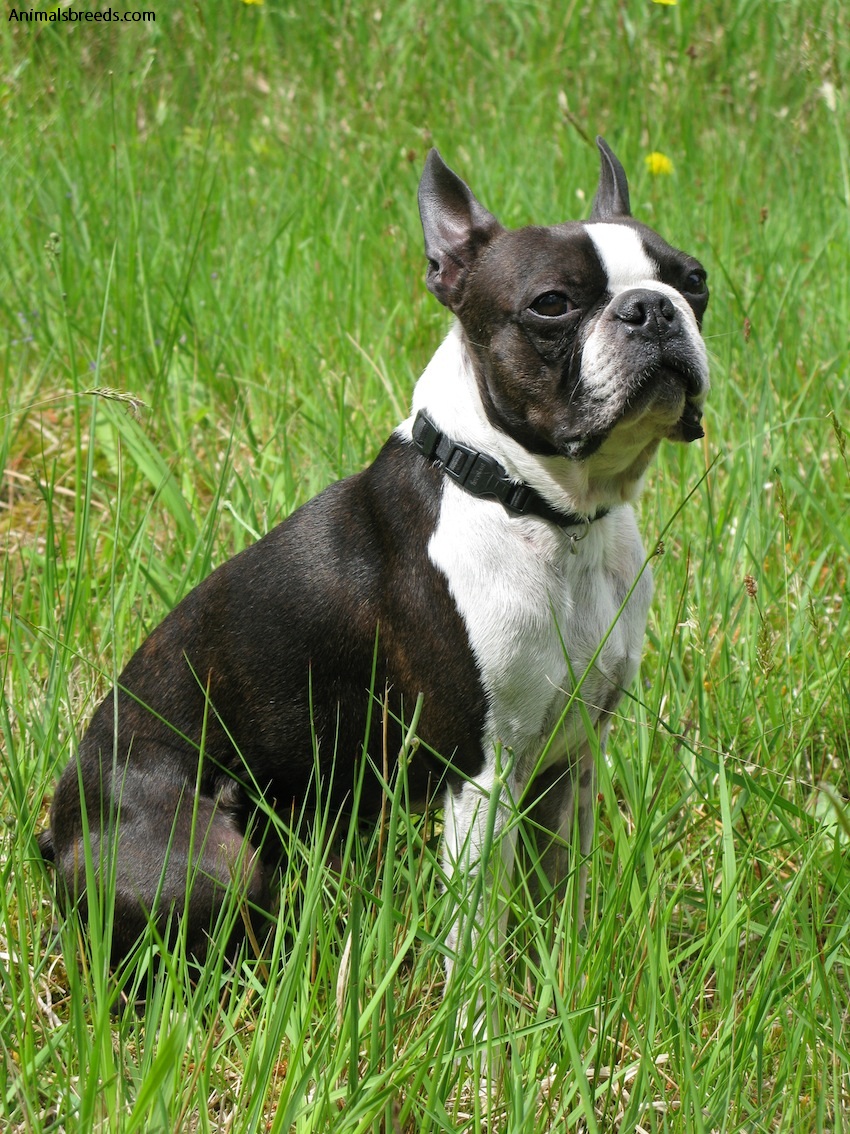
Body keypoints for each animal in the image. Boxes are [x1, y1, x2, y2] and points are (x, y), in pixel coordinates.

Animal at [36, 139, 707, 993]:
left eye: (695, 280)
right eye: (553, 304)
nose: (653, 308)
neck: (540, 509)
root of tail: (58, 828)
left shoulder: (573, 757)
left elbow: (567, 894)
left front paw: (571, 982)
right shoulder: (480, 776)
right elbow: (474, 943)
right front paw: (482, 1028)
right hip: (210, 859)